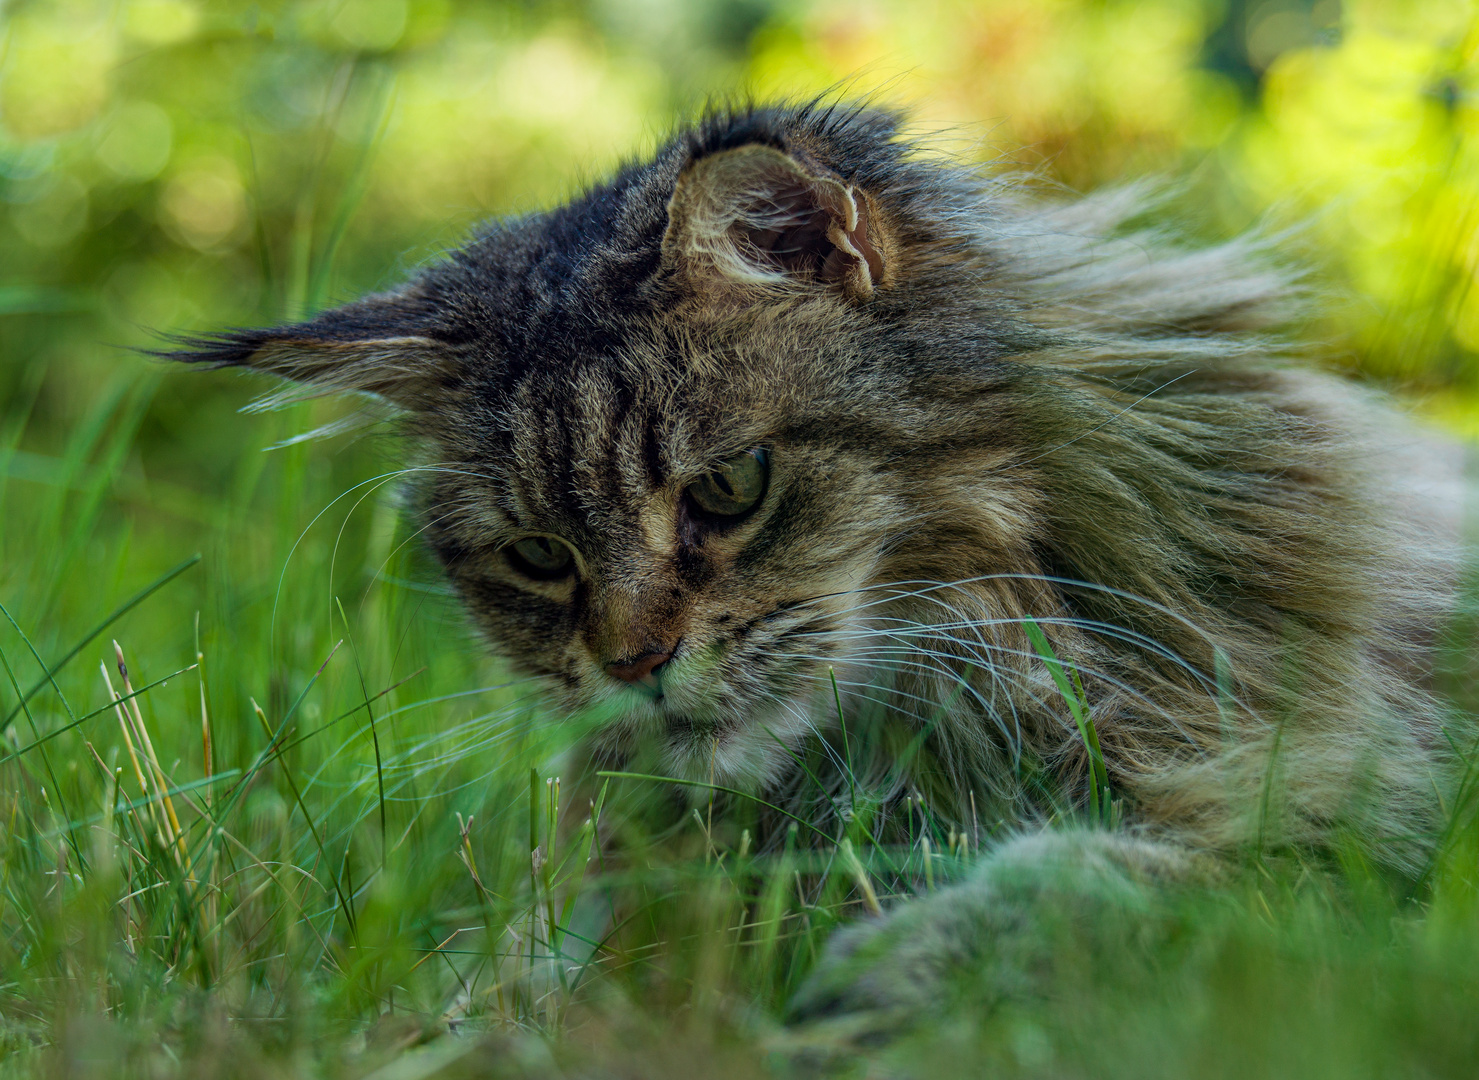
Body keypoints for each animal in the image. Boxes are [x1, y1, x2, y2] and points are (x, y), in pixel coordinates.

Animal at [170, 99, 1467, 1041]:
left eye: (729, 488)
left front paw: (889, 973)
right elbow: (484, 995)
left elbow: (1114, 881)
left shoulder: (1374, 835)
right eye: (538, 556)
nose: (631, 664)